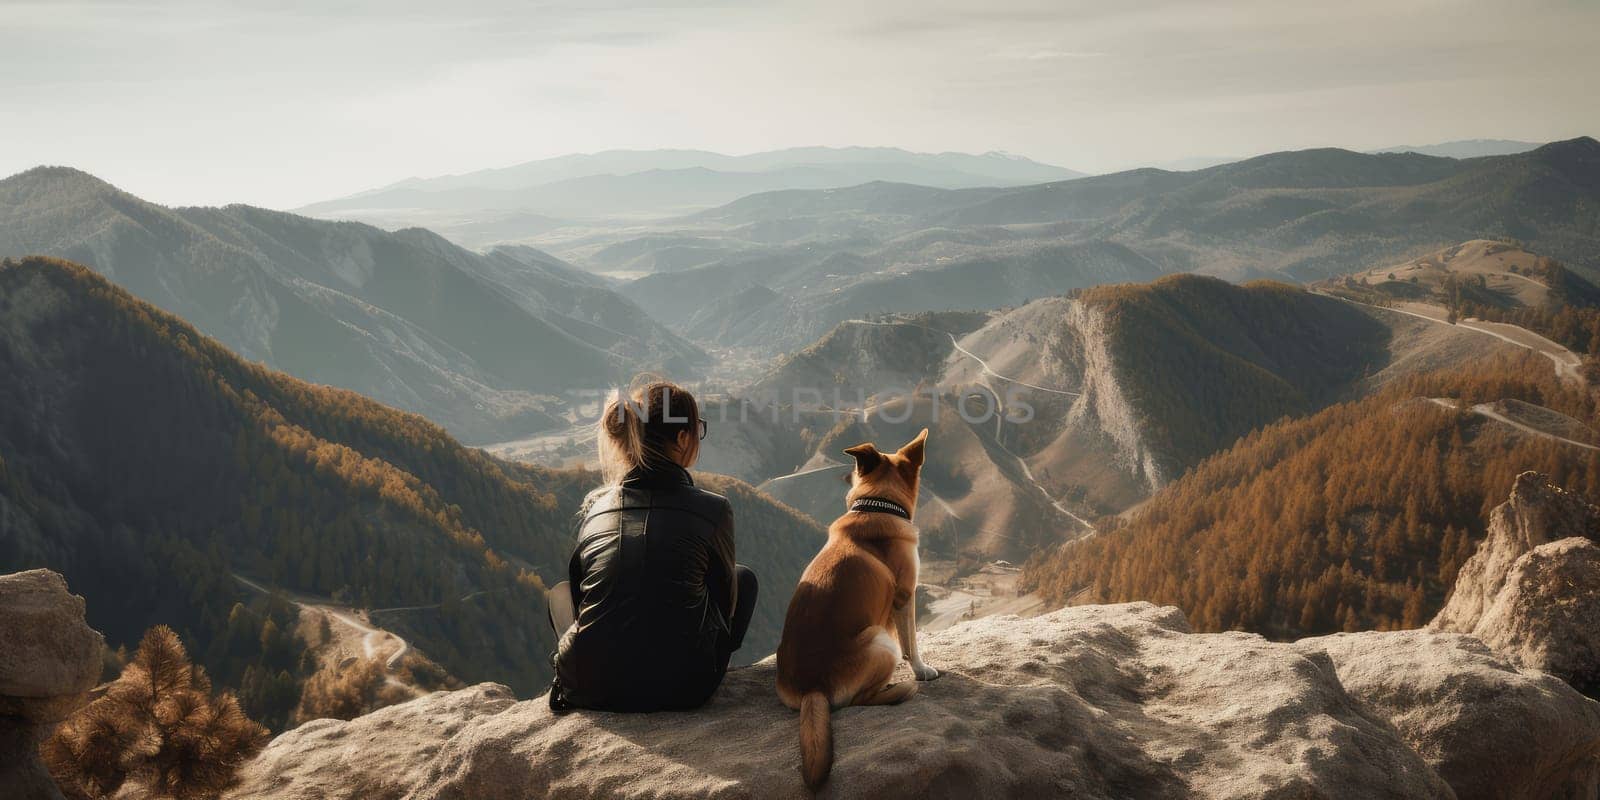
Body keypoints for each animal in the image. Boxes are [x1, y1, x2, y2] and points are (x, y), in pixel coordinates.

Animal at [774, 428, 934, 790]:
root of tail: (813, 688)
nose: (842, 476)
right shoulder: (905, 597)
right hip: (880, 641)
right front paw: (921, 669)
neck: (877, 506)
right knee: (859, 700)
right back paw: (898, 689)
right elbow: (912, 643)